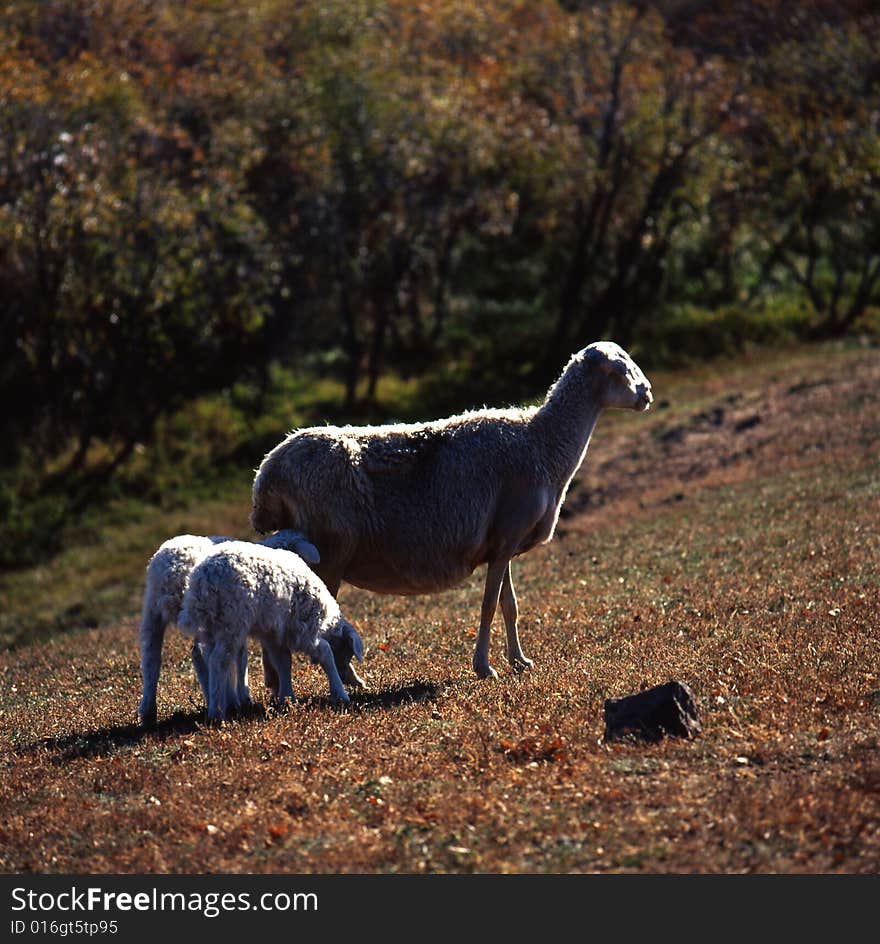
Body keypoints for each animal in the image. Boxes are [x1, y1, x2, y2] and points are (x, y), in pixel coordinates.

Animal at [139, 528, 324, 728]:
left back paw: (148, 712)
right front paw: (242, 696)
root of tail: (173, 570)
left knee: (152, 658)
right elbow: (241, 657)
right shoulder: (237, 619)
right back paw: (221, 704)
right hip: (215, 616)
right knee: (208, 657)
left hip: (154, 610)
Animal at [177, 540, 362, 724]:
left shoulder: (274, 635)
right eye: (347, 652)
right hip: (231, 620)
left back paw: (222, 703)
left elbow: (283, 662)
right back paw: (217, 712)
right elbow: (325, 653)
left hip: (210, 625)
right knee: (219, 660)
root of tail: (204, 579)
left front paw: (288, 698)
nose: (346, 676)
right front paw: (340, 694)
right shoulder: (305, 628)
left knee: (209, 657)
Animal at [248, 340, 652, 680]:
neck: (544, 444)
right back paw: (343, 682)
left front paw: (519, 661)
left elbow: (509, 605)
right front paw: (485, 668)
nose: (647, 393)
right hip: (328, 554)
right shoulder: (506, 537)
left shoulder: (502, 544)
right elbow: (488, 606)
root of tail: (267, 473)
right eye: (619, 368)